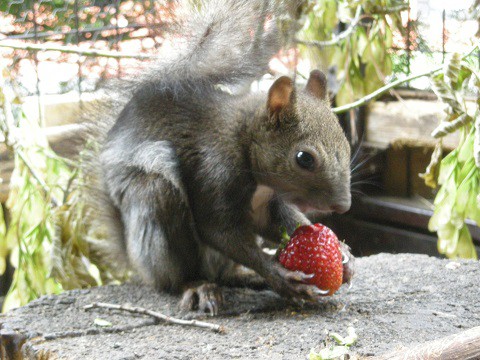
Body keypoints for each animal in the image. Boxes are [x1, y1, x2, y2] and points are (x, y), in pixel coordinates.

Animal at [88, 0, 354, 316]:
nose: (343, 205)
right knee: (174, 277)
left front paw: (343, 254)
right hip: (156, 205)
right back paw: (198, 287)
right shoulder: (214, 171)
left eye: (347, 145)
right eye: (304, 158)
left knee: (224, 275)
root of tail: (132, 258)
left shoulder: (267, 204)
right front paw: (279, 274)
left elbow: (286, 223)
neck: (243, 139)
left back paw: (247, 277)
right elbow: (219, 230)